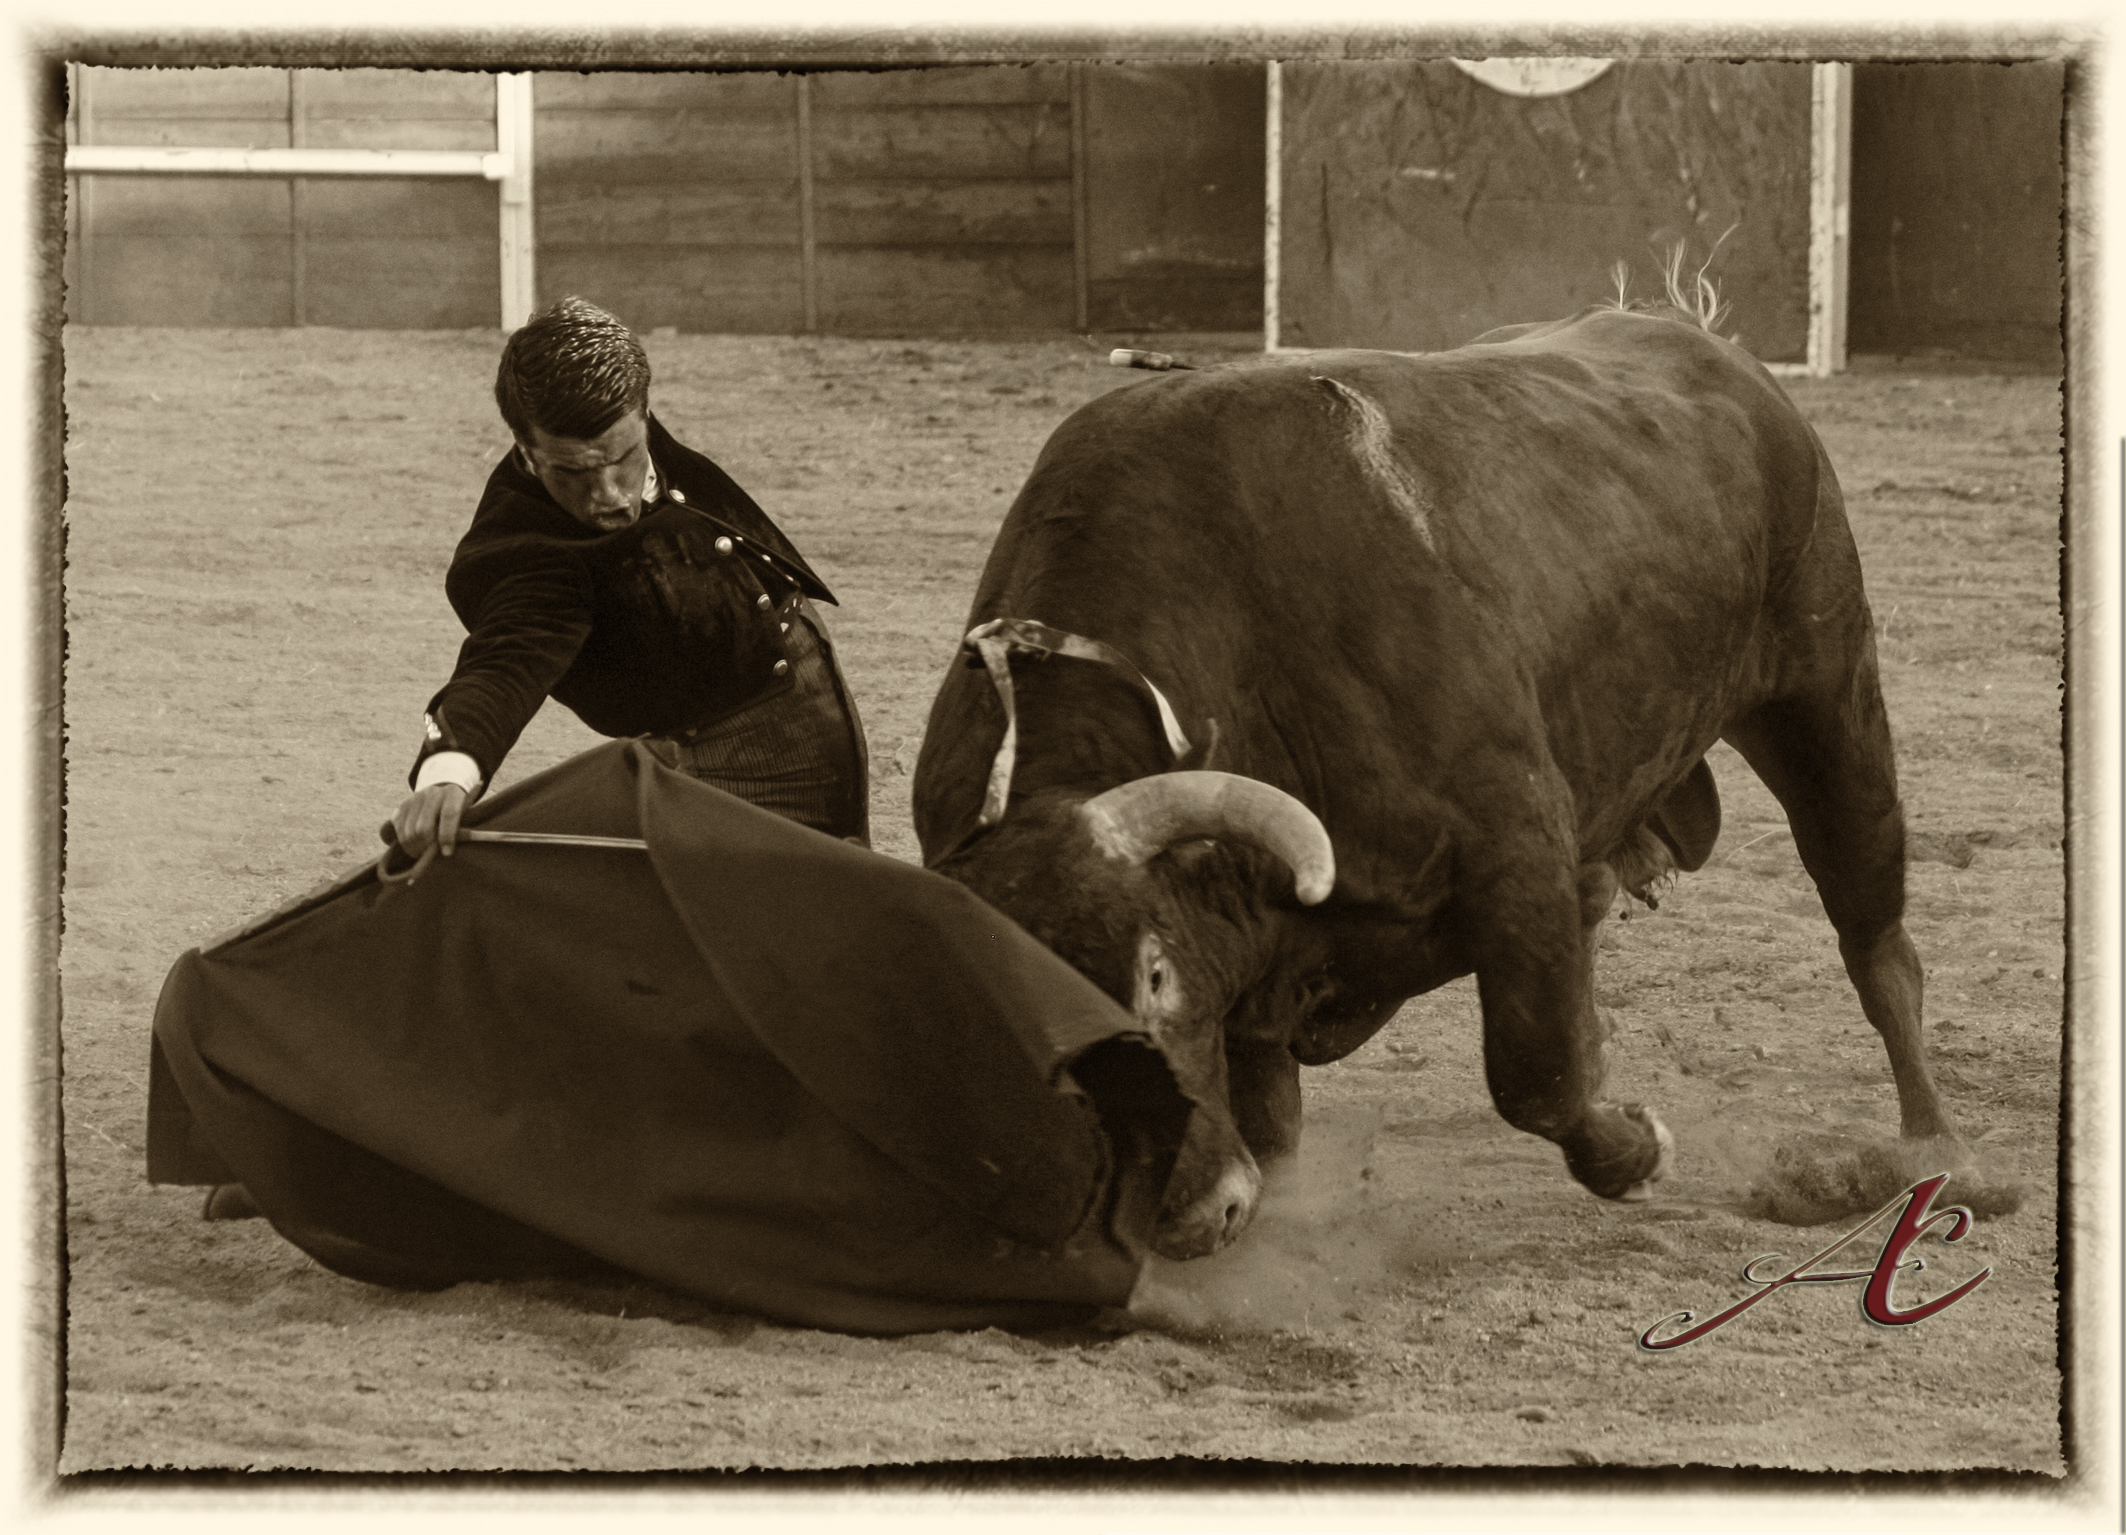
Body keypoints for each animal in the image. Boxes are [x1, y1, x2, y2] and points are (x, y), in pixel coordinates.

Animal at [914, 301, 1955, 1258]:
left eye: (1156, 972)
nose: (1187, 1218)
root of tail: (1704, 343)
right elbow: (1276, 1117)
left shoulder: (1516, 854)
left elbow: (1535, 1072)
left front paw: (1637, 1149)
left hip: (1826, 694)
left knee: (1876, 941)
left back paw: (1935, 1151)